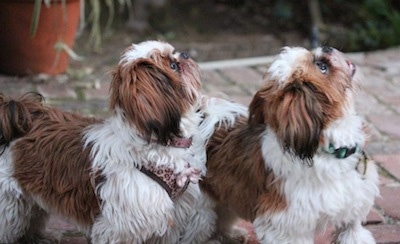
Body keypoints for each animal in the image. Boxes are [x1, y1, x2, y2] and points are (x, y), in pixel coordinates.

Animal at [0, 41, 247, 243]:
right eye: (173, 66)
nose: (184, 54)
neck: (158, 146)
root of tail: (25, 117)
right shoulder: (120, 226)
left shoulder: (170, 219)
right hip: (9, 202)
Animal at [202, 46, 380, 243]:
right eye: (322, 67)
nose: (327, 48)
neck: (327, 150)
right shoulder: (286, 222)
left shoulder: (351, 212)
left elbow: (352, 232)